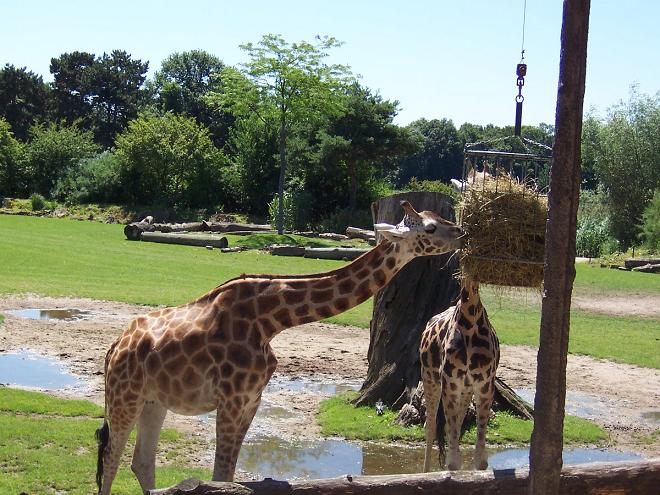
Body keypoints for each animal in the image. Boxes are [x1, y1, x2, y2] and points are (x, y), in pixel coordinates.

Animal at [95, 202, 464, 495]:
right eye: (430, 227)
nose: (460, 232)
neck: (271, 320)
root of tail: (115, 346)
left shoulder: (251, 400)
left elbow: (227, 475)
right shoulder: (231, 400)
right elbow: (220, 477)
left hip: (153, 401)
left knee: (141, 462)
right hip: (124, 395)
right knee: (111, 459)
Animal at [420, 276, 498, 472]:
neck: (470, 318)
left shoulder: (485, 385)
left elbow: (481, 461)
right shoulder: (450, 383)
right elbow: (453, 462)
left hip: (466, 389)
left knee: (452, 426)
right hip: (430, 379)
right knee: (430, 427)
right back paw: (425, 472)